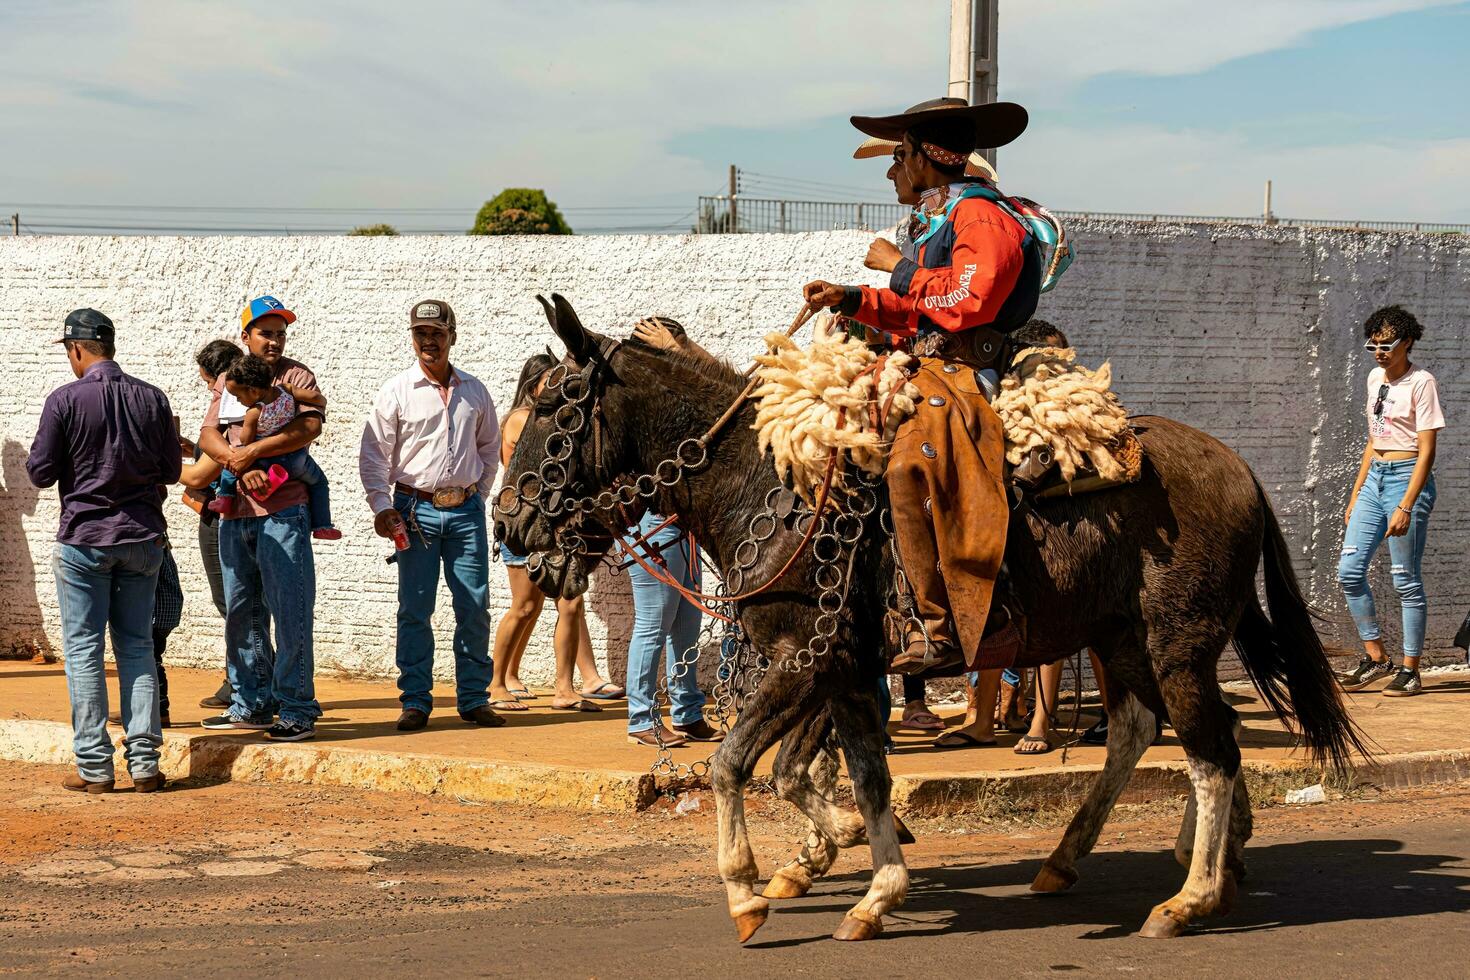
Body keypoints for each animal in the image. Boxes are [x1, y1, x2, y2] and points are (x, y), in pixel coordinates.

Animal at [493, 296, 1364, 940]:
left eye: (554, 411)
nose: (507, 524)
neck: (771, 480)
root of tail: (1238, 467)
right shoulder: (842, 671)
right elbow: (853, 775)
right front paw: (872, 884)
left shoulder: (801, 661)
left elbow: (734, 764)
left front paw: (748, 891)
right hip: (1125, 643)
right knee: (1150, 734)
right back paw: (1106, 862)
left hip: (1174, 644)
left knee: (1210, 752)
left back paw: (1190, 897)